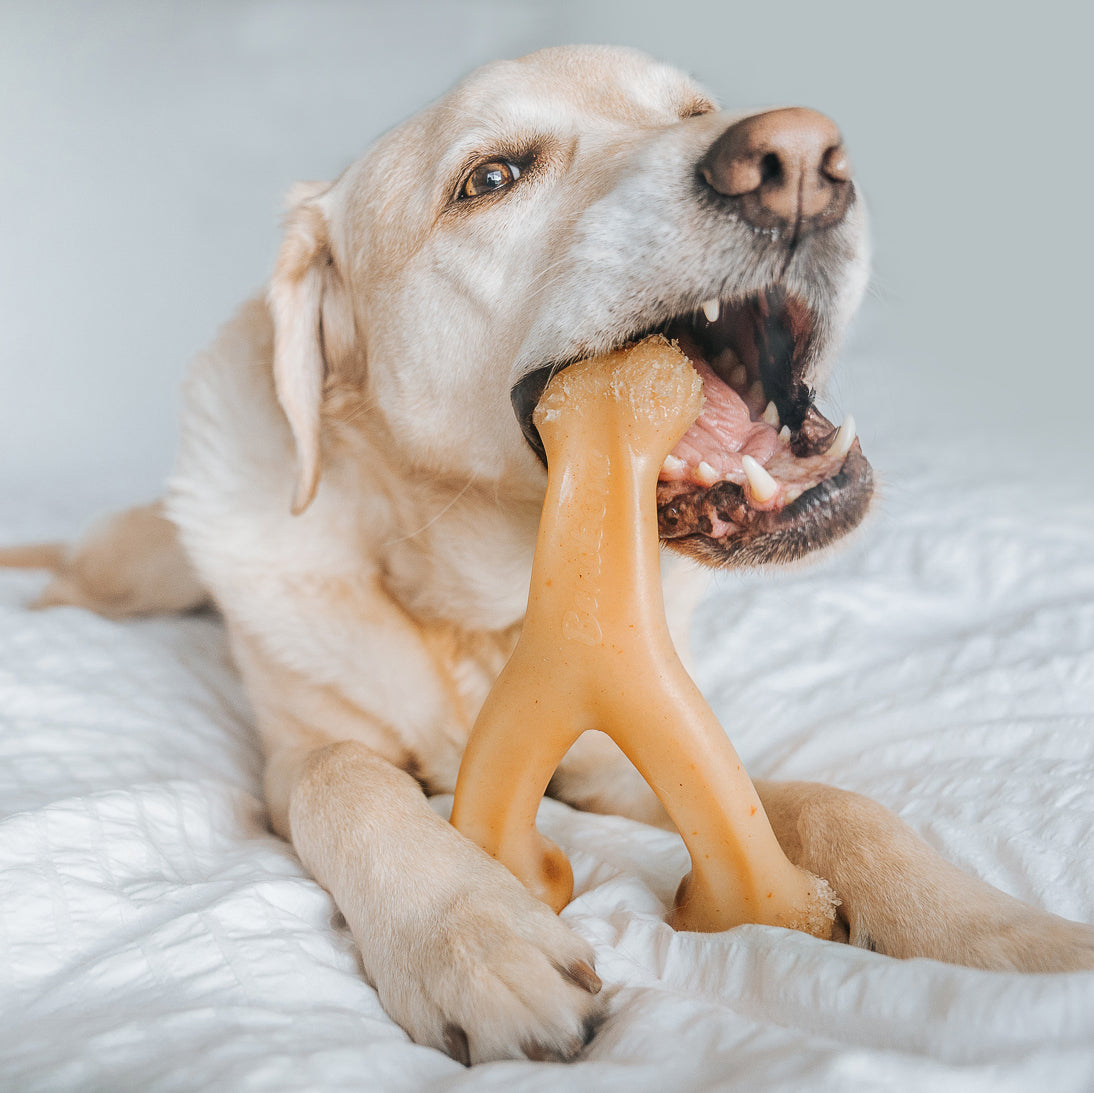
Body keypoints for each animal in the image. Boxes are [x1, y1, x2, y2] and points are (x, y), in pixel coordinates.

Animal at [4, 47, 1089, 1063]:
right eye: (490, 178)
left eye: (695, 109)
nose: (794, 160)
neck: (483, 617)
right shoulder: (295, 755)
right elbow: (344, 779)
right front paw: (473, 934)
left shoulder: (614, 766)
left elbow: (834, 803)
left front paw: (1001, 935)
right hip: (133, 566)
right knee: (75, 576)